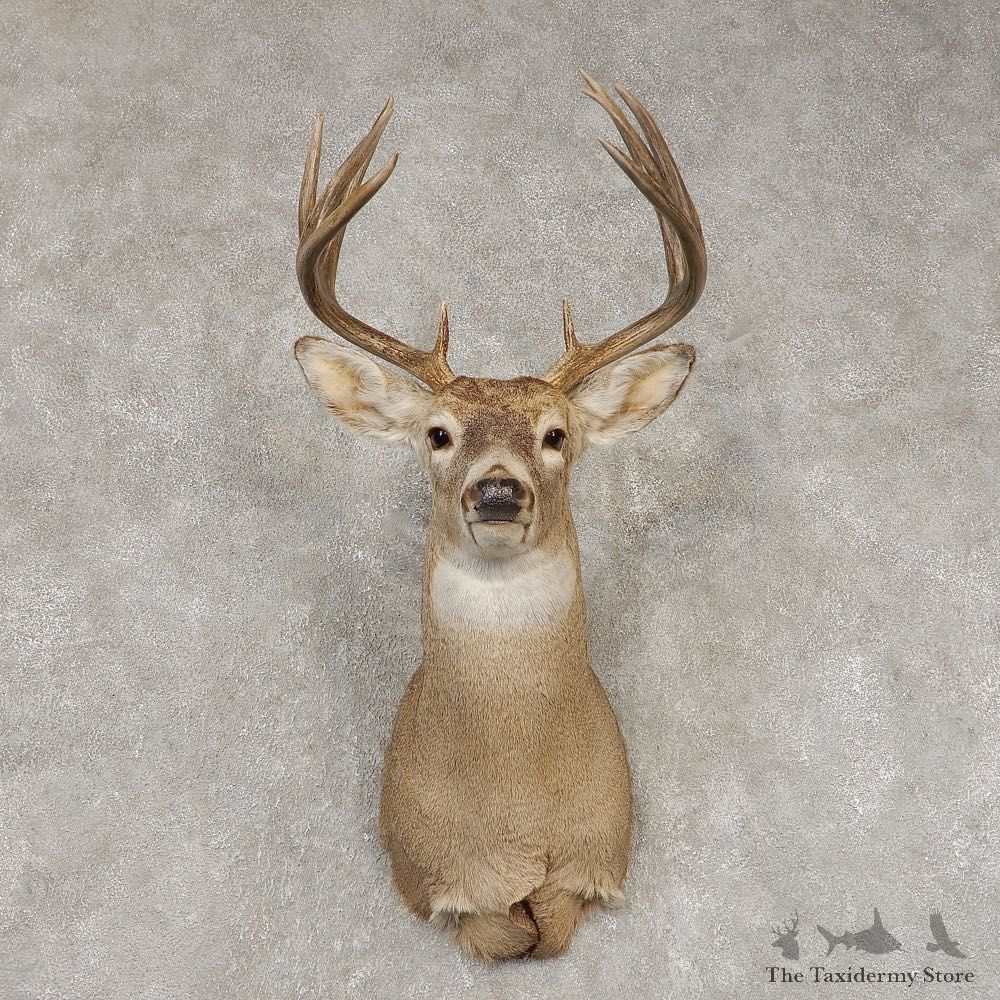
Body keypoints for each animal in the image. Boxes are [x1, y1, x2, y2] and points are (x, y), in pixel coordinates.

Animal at [293, 72, 707, 964]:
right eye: (437, 433)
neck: (515, 808)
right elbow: (503, 931)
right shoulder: (431, 879)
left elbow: (547, 927)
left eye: (556, 435)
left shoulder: (598, 855)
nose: (496, 493)